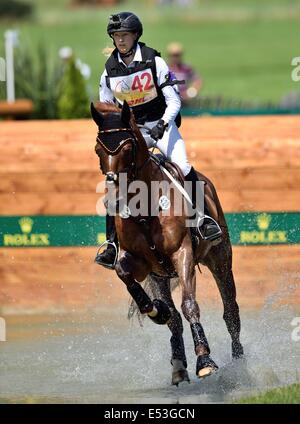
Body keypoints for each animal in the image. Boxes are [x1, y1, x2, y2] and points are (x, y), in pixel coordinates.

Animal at [91, 100, 244, 384]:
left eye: (127, 148)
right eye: (98, 149)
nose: (112, 201)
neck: (145, 207)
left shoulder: (182, 253)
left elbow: (189, 305)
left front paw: (205, 360)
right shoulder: (141, 263)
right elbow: (123, 273)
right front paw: (156, 310)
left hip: (220, 261)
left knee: (230, 312)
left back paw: (239, 362)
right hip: (159, 276)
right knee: (175, 322)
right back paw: (179, 365)